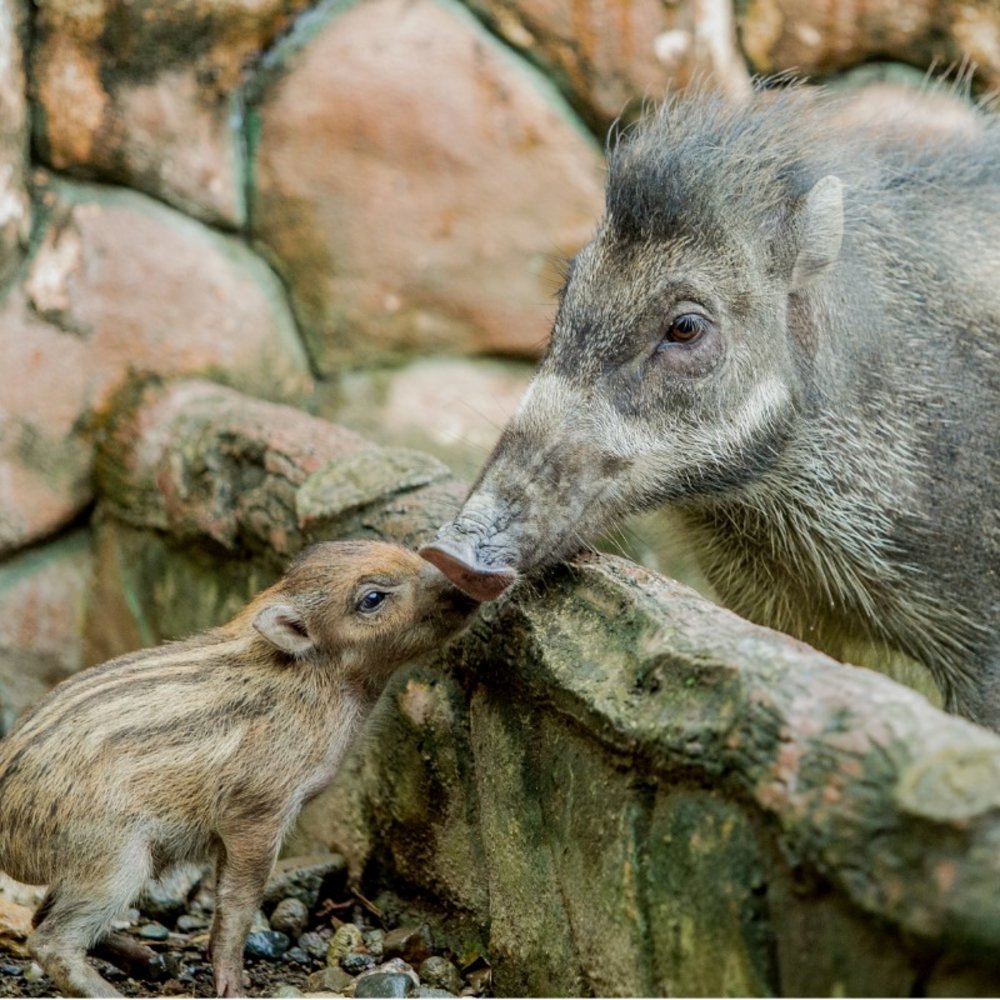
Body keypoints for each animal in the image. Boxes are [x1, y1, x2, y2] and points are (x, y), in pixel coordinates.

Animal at [0, 541, 477, 998]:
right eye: (372, 598)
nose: (462, 582)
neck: (320, 683)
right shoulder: (256, 814)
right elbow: (240, 899)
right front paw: (233, 988)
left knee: (42, 916)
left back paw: (153, 963)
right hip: (113, 861)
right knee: (49, 941)